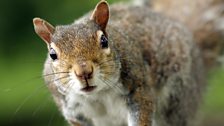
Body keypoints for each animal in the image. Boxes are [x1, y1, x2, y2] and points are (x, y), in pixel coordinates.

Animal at [31, 0, 222, 126]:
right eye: (52, 54)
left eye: (104, 41)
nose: (84, 72)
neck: (98, 94)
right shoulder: (74, 112)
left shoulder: (138, 89)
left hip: (177, 100)